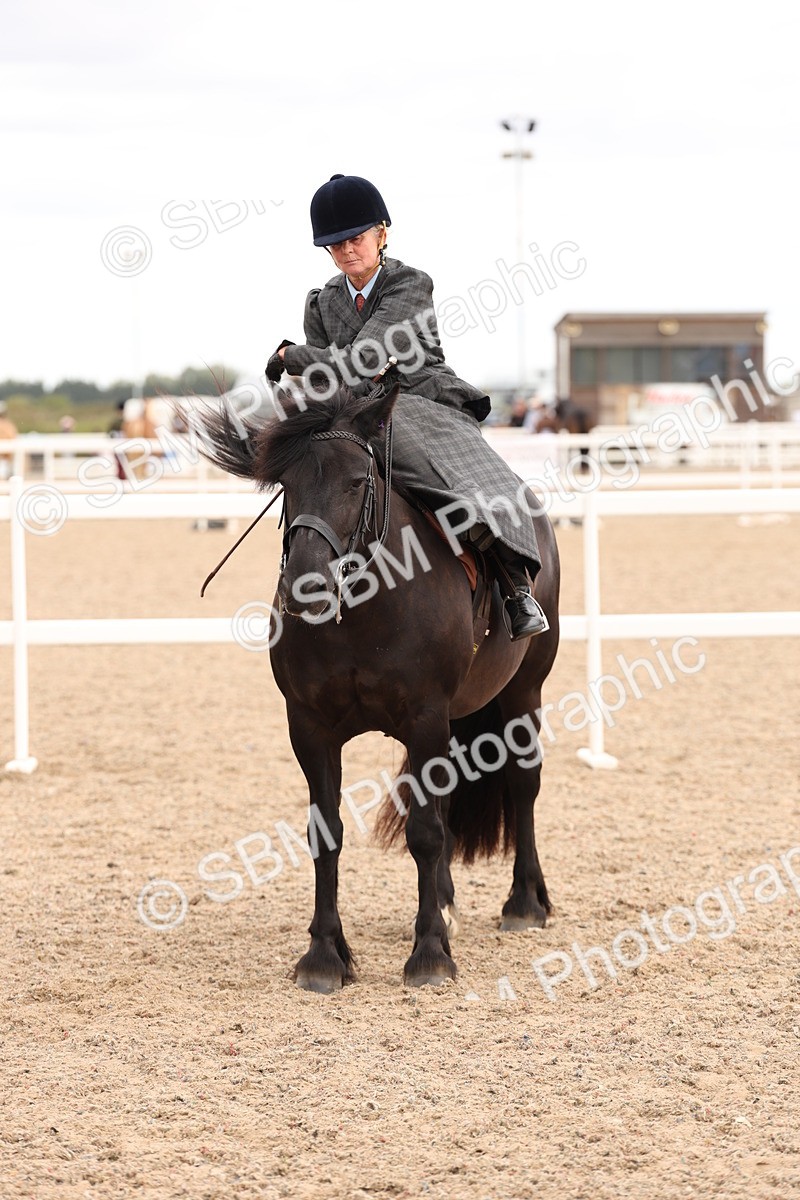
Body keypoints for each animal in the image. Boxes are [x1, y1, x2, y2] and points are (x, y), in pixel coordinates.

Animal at [195, 383, 561, 992]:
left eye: (356, 481)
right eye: (286, 483)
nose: (306, 584)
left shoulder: (425, 719)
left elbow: (426, 832)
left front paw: (429, 954)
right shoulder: (311, 728)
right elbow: (327, 833)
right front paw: (325, 955)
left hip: (522, 692)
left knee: (522, 785)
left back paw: (525, 903)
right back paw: (448, 903)